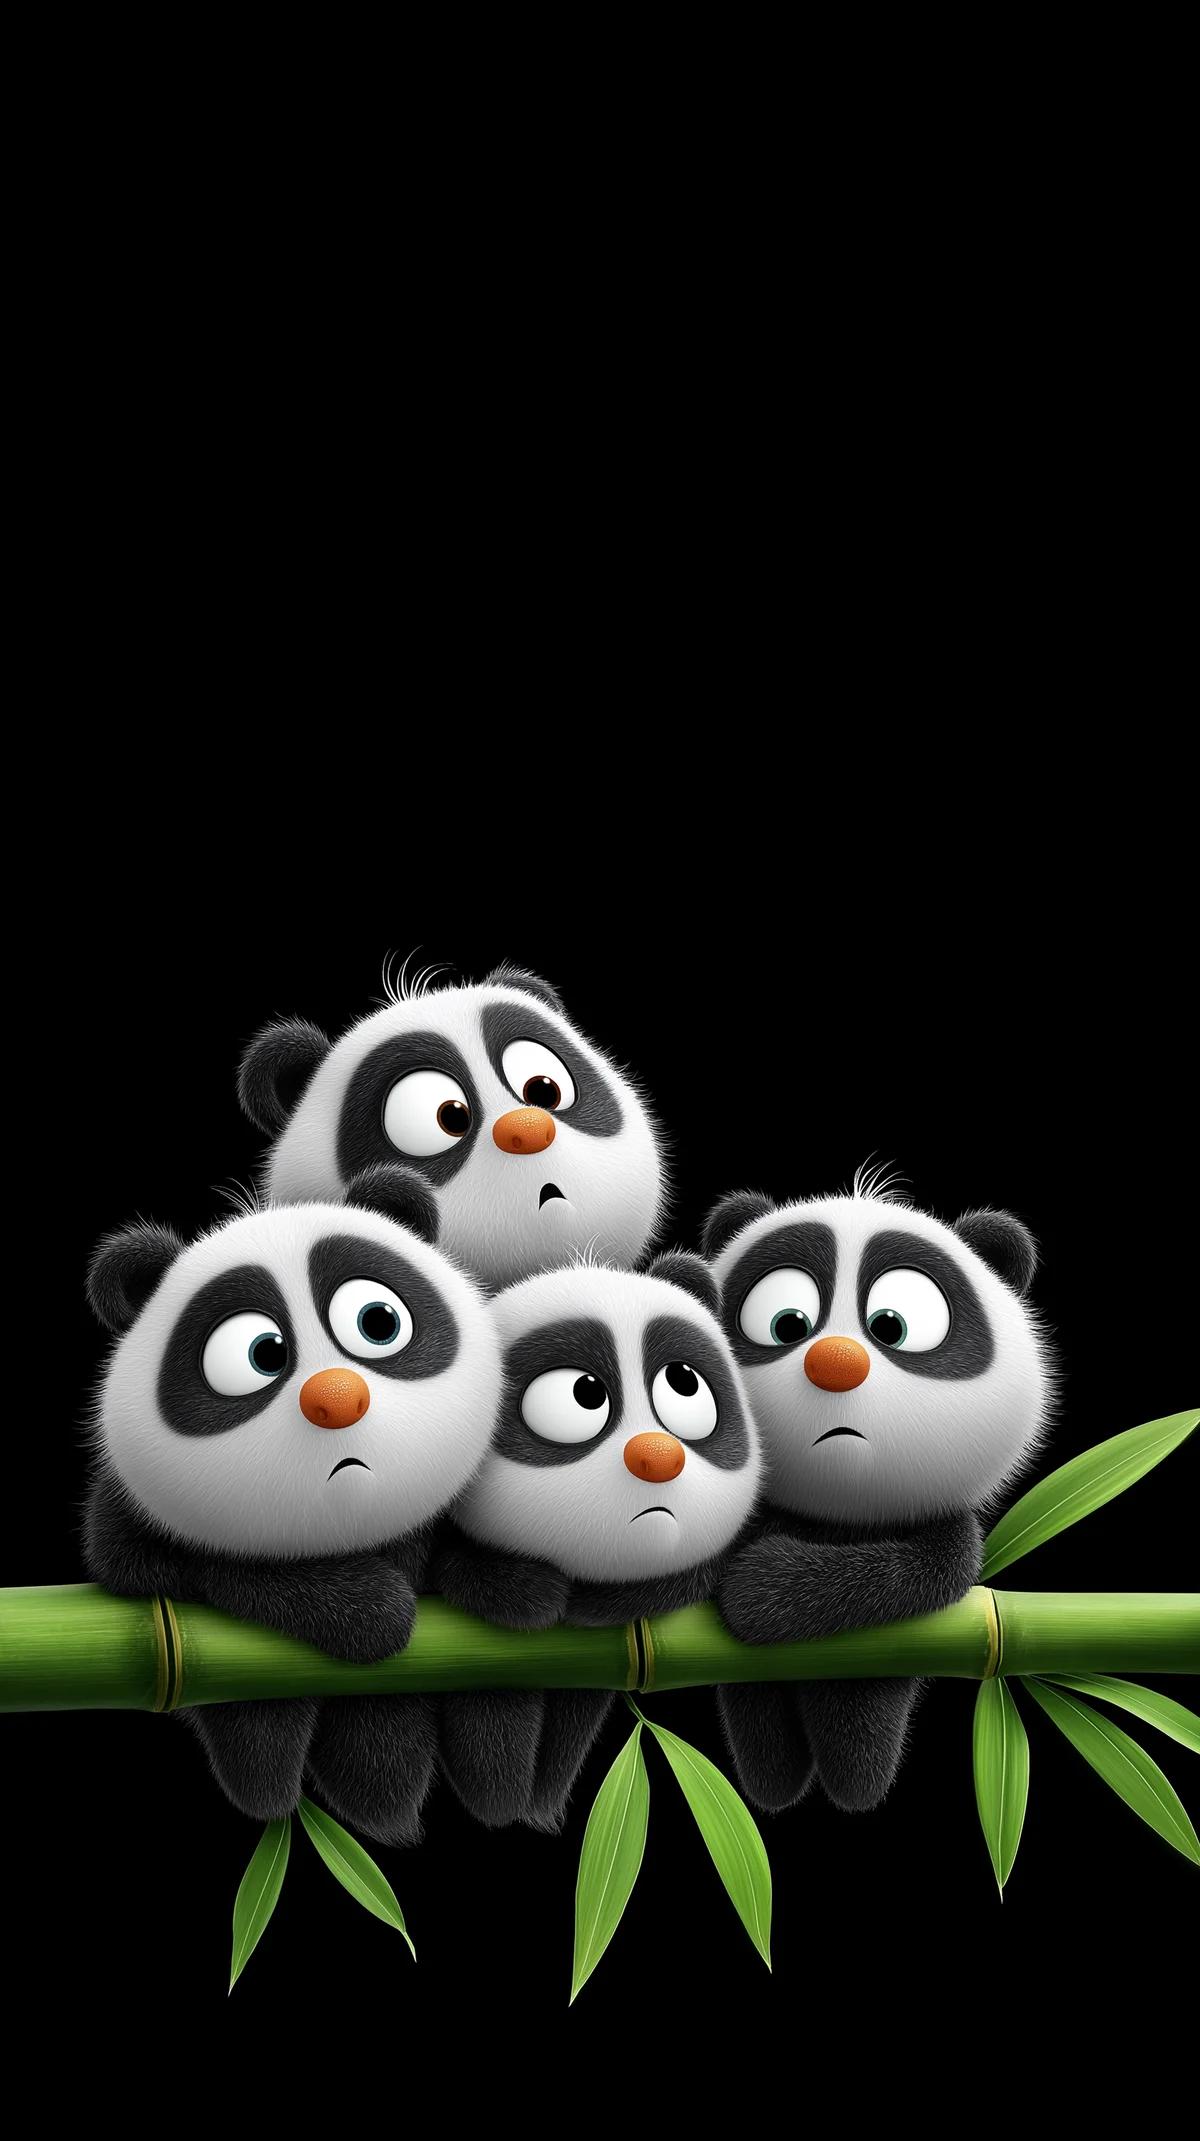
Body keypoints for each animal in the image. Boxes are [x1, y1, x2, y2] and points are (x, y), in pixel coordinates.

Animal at [83, 1163, 502, 1843]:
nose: (336, 1398)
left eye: (378, 1322)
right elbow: (160, 1565)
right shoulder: (130, 1510)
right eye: (261, 1353)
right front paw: (366, 1607)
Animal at [701, 1168, 1052, 1813]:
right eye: (787, 1322)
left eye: (893, 1324)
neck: (836, 1513)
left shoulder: (942, 1532)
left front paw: (764, 1585)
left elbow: (918, 1570)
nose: (835, 1364)